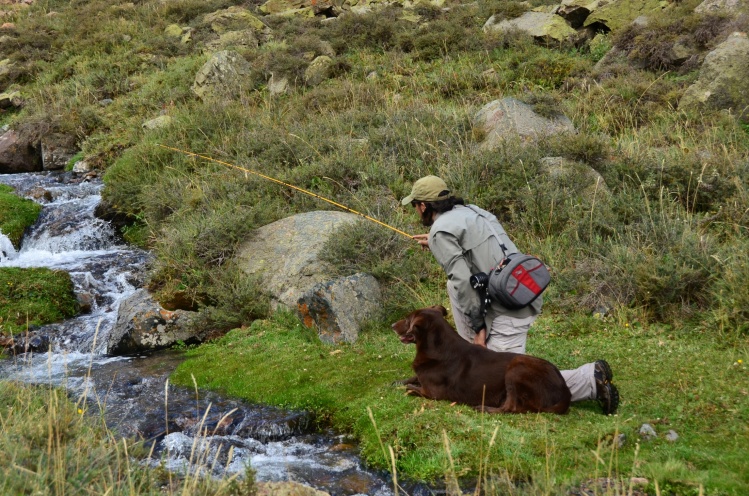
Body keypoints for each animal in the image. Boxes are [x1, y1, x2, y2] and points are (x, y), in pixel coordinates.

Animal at [388, 306, 568, 414]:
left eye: (407, 320)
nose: (392, 325)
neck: (436, 349)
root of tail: (565, 390)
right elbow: (410, 379)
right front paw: (397, 382)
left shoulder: (432, 392)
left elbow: (410, 388)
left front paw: (405, 387)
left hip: (516, 368)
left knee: (511, 407)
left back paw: (484, 408)